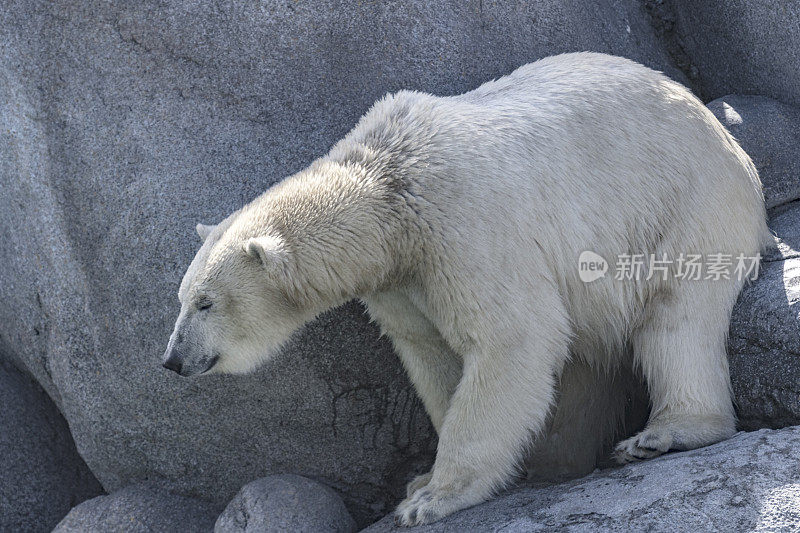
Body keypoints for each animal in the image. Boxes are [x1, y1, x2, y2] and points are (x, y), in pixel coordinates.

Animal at [161, 52, 768, 524]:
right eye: (182, 299)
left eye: (205, 302)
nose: (172, 360)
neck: (388, 191)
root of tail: (722, 133)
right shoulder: (402, 279)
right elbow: (431, 354)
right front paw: (423, 477)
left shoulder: (463, 225)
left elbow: (511, 338)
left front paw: (429, 498)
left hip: (682, 204)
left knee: (675, 317)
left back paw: (666, 432)